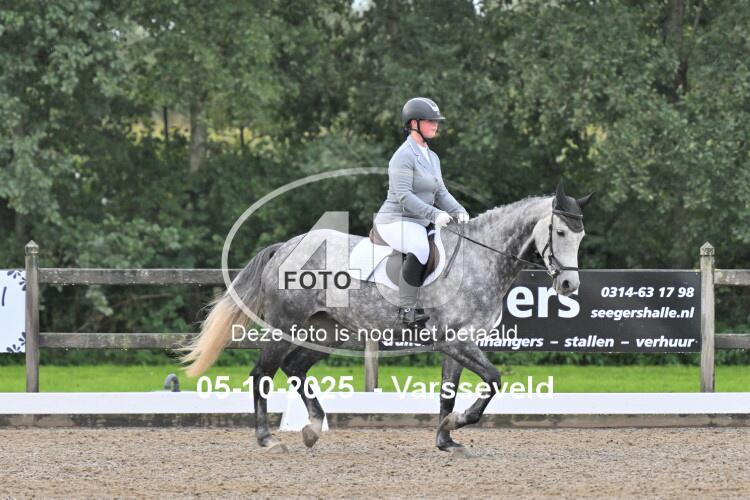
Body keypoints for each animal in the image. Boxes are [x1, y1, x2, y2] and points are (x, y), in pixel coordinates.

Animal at [181, 182, 592, 452]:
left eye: (581, 236)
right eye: (559, 232)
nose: (569, 284)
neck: (480, 260)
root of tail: (285, 247)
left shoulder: (458, 345)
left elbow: (448, 392)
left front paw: (446, 438)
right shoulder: (455, 341)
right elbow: (492, 379)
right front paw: (457, 424)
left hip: (327, 332)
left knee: (294, 368)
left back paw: (312, 429)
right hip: (286, 327)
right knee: (262, 373)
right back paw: (267, 439)